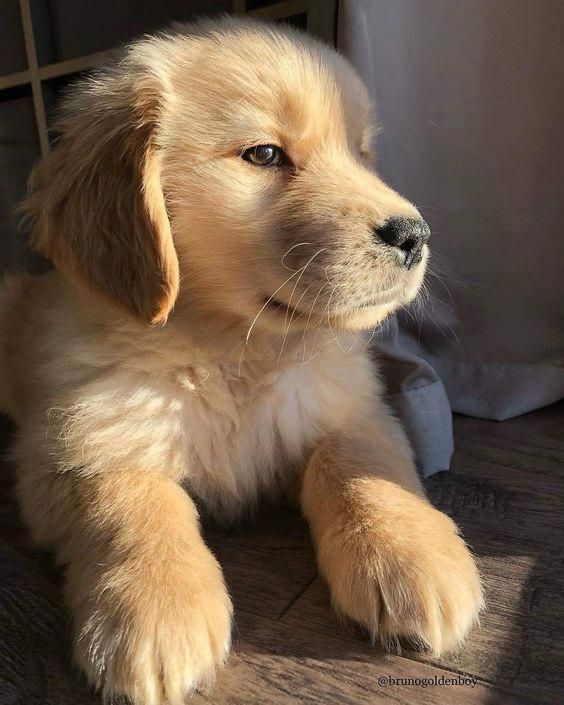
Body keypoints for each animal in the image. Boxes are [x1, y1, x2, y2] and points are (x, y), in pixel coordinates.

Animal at [1, 16, 484, 704]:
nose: (414, 235)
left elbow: (360, 466)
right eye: (264, 155)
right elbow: (129, 495)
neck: (235, 351)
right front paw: (156, 609)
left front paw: (414, 556)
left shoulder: (352, 408)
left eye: (362, 152)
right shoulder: (68, 442)